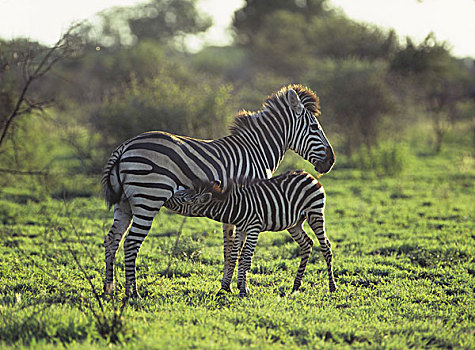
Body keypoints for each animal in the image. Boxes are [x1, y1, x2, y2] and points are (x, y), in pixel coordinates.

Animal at [167, 170, 338, 296]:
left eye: (183, 199)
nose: (167, 197)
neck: (235, 207)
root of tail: (307, 174)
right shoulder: (241, 229)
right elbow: (235, 256)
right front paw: (227, 289)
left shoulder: (253, 228)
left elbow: (247, 259)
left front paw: (243, 291)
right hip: (294, 223)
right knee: (307, 244)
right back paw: (296, 286)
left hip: (315, 212)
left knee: (326, 247)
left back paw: (332, 287)